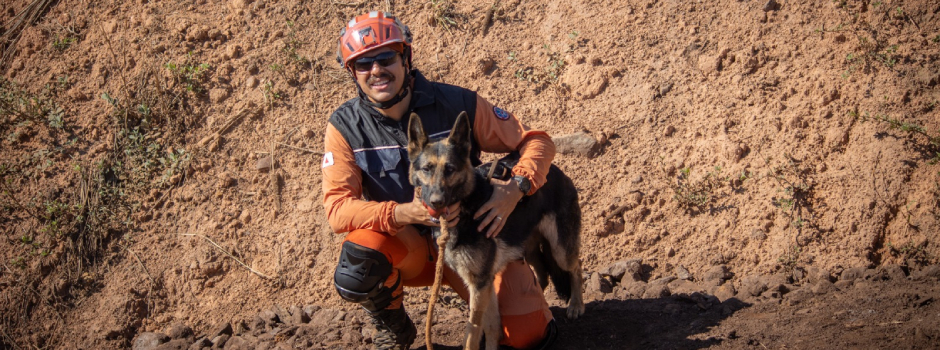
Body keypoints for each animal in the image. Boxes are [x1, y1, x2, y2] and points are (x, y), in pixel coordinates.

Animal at [408, 110, 584, 348]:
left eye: (450, 169)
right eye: (427, 169)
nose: (436, 202)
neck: (466, 209)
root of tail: (557, 172)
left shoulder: (479, 284)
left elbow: (473, 333)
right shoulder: (484, 283)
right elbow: (492, 327)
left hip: (560, 250)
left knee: (575, 267)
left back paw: (576, 304)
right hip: (528, 248)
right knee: (543, 272)